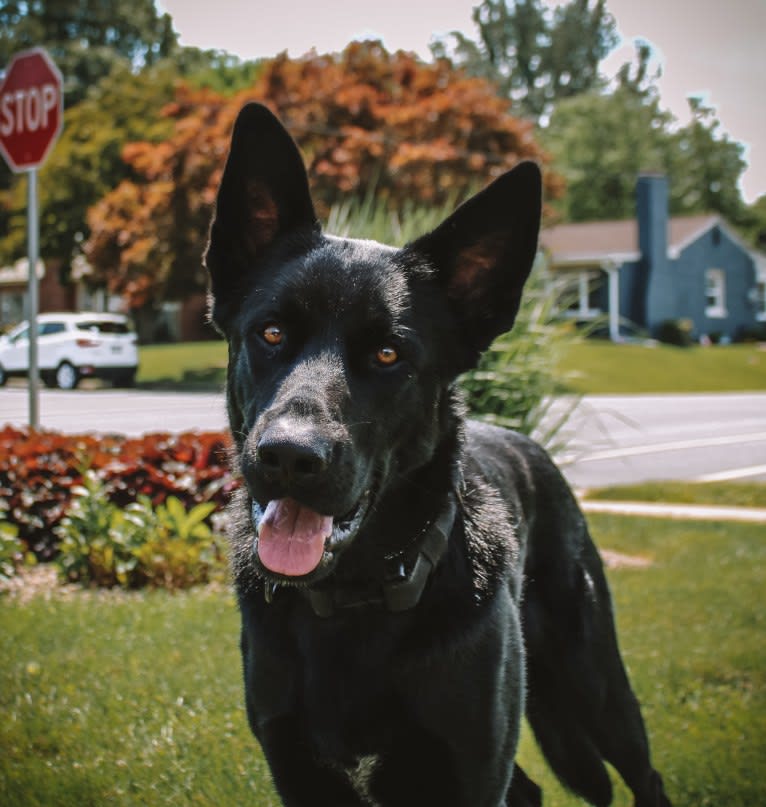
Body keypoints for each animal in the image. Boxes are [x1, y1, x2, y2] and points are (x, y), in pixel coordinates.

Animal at [206, 102, 672, 807]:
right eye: (272, 333)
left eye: (388, 354)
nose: (287, 457)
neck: (354, 603)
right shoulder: (301, 771)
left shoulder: (469, 767)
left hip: (593, 684)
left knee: (645, 774)